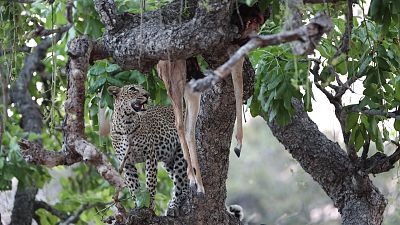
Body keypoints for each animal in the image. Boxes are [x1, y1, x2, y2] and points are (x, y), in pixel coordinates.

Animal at [108, 84, 189, 216]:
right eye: (132, 89)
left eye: (142, 88)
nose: (147, 94)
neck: (126, 123)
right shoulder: (126, 163)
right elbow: (133, 186)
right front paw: (138, 207)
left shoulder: (150, 155)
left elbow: (150, 183)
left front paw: (150, 207)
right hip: (169, 162)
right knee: (185, 183)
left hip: (181, 155)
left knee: (180, 183)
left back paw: (173, 206)